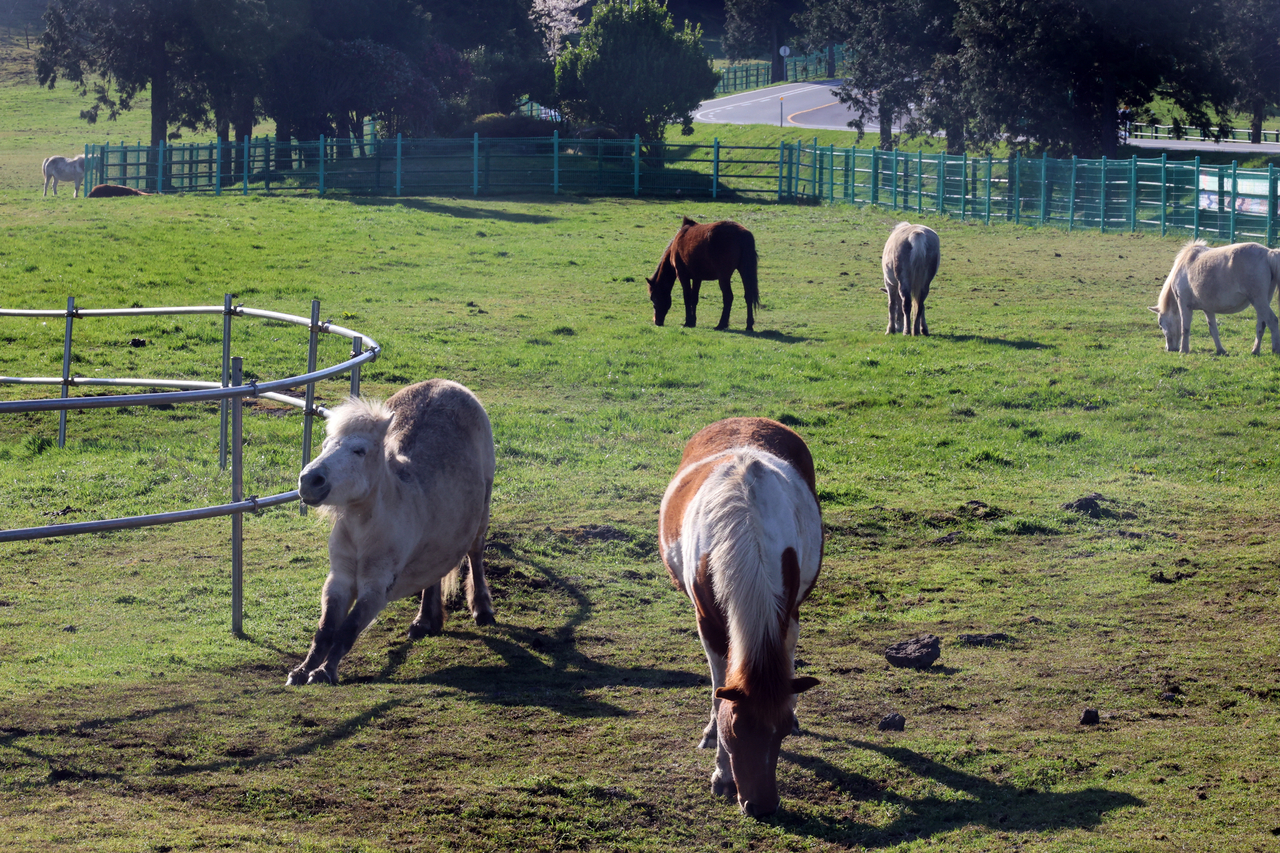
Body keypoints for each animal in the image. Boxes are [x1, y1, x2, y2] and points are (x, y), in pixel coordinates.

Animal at [289, 379, 497, 686]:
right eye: (325, 445)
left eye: (359, 451)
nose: (310, 481)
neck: (363, 531)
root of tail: (448, 384)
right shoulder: (338, 580)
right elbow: (325, 629)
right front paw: (302, 671)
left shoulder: (376, 588)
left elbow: (347, 629)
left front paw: (325, 672)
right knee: (433, 575)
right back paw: (424, 622)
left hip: (482, 514)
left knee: (475, 554)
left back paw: (482, 610)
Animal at [658, 417, 823, 817]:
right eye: (735, 732)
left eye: (779, 733)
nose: (761, 807)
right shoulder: (708, 624)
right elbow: (720, 693)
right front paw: (721, 772)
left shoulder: (786, 611)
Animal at [1150, 239, 1280, 355]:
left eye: (1160, 324)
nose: (1169, 349)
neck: (1184, 265)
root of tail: (1269, 253)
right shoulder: (1208, 309)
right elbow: (1213, 329)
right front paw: (1220, 350)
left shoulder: (1184, 305)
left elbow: (1185, 328)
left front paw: (1184, 350)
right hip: (1262, 302)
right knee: (1261, 325)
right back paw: (1255, 350)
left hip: (1258, 301)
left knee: (1273, 321)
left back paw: (1275, 350)